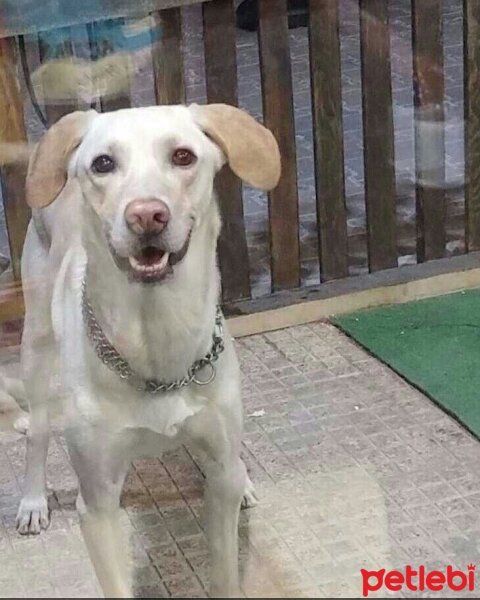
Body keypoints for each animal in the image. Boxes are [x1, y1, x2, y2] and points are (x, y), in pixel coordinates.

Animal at [9, 105, 282, 596]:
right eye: (102, 163)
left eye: (183, 155)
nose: (147, 215)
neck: (156, 333)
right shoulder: (98, 504)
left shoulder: (218, 471)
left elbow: (226, 566)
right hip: (35, 344)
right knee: (37, 431)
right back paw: (33, 500)